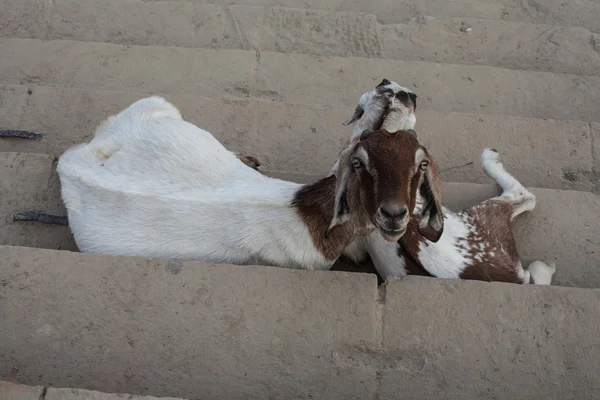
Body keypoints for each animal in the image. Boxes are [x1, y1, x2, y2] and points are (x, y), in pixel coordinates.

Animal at [56, 95, 442, 270]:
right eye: (359, 164)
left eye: (420, 163)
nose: (394, 214)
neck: (307, 215)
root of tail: (71, 164)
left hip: (151, 107)